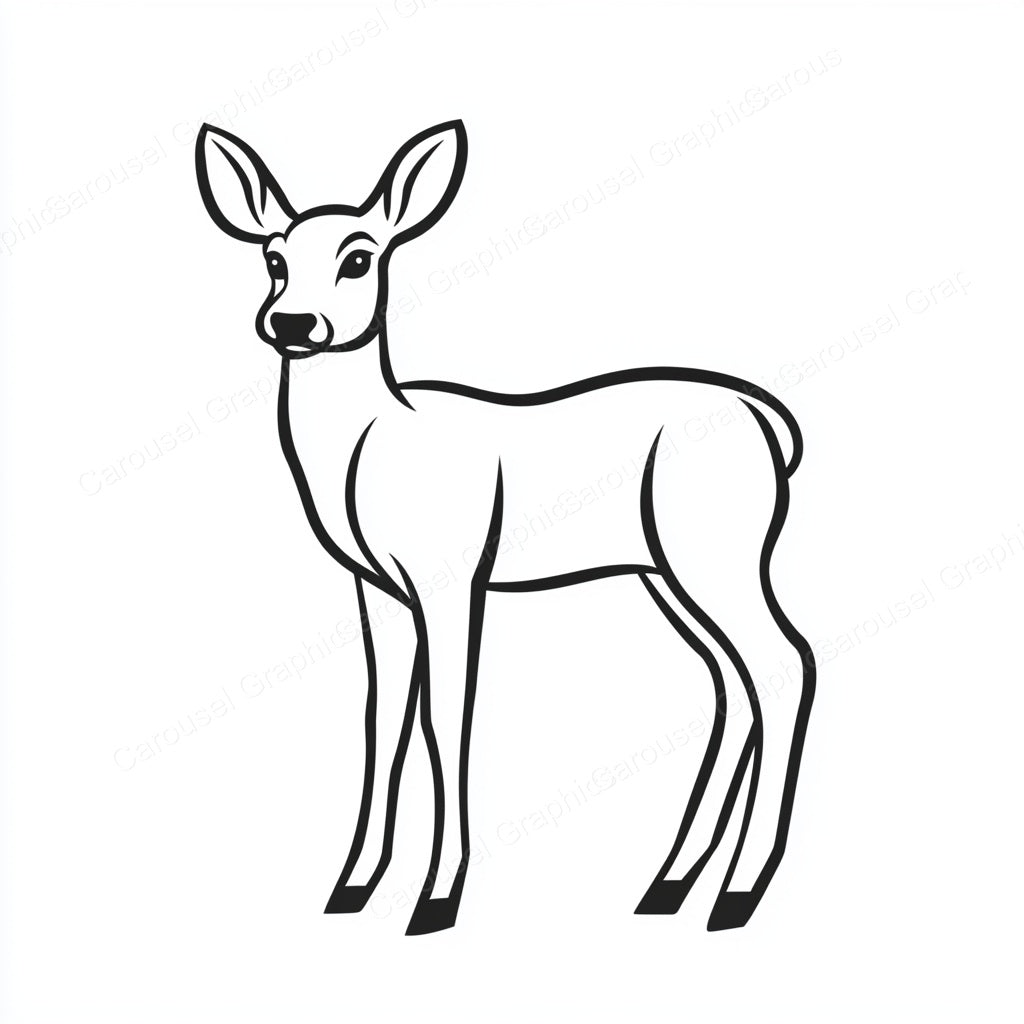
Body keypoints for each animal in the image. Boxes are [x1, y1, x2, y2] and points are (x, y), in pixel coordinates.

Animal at [195, 119, 816, 936]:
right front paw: (350, 888)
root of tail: (769, 423)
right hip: (663, 572)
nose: (294, 323)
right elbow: (381, 721)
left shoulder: (450, 575)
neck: (370, 444)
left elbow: (446, 718)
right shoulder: (377, 589)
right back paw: (669, 884)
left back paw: (736, 895)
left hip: (717, 553)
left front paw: (436, 899)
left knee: (785, 661)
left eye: (360, 257)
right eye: (273, 258)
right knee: (733, 682)